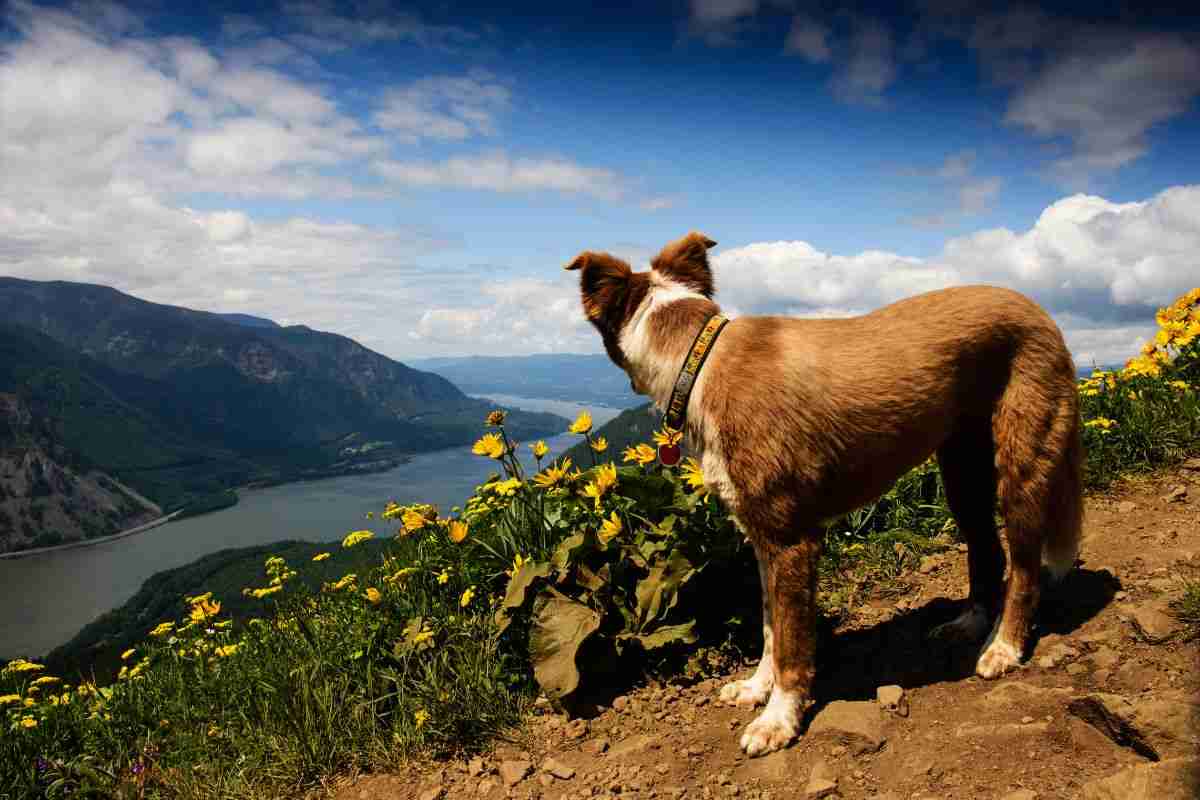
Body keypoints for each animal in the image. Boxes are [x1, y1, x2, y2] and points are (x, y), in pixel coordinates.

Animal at [566, 230, 1084, 758]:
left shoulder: (792, 541)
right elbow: (771, 627)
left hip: (1022, 466)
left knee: (1025, 571)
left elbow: (792, 645)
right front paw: (757, 688)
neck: (700, 359)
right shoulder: (762, 538)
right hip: (962, 473)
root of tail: (1038, 309)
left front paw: (779, 719)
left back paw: (1004, 647)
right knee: (986, 550)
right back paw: (971, 623)